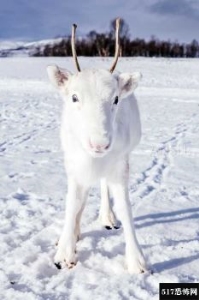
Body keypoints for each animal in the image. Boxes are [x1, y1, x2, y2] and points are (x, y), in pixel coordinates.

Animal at [46, 20, 146, 274]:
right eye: (74, 97)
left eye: (116, 99)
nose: (99, 143)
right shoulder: (73, 164)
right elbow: (73, 203)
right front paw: (65, 251)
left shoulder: (120, 165)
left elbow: (125, 208)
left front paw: (137, 261)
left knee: (102, 186)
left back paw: (107, 217)